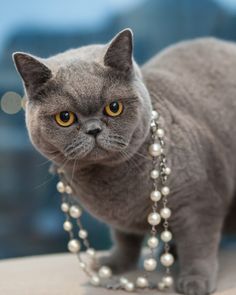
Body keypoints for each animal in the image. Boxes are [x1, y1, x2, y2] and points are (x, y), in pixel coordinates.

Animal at [12, 28, 236, 295]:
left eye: (114, 108)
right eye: (65, 117)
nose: (93, 129)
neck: (114, 186)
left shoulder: (201, 202)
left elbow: (198, 245)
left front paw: (195, 280)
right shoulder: (122, 223)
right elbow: (124, 239)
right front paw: (114, 264)